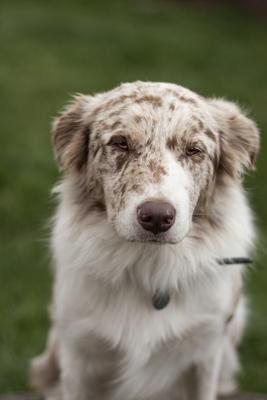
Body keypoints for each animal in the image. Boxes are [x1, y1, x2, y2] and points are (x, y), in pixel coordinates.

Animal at [30, 82, 260, 400]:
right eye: (120, 143)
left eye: (194, 150)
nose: (157, 217)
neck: (149, 265)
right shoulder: (77, 351)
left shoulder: (206, 349)